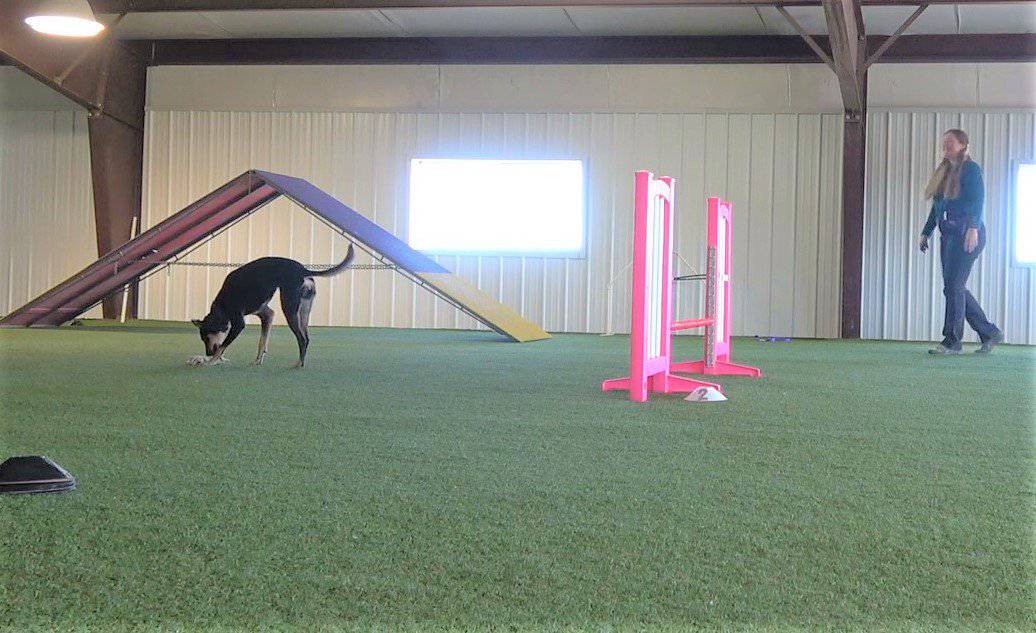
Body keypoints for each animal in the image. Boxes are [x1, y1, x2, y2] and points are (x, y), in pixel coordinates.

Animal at [190, 245, 356, 368]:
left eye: (206, 338)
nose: (208, 353)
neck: (222, 306)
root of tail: (303, 270)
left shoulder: (238, 324)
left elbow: (223, 345)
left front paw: (211, 361)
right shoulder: (267, 314)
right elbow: (262, 341)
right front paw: (258, 360)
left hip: (289, 308)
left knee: (302, 339)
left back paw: (298, 364)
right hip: (304, 311)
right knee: (307, 338)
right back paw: (301, 362)